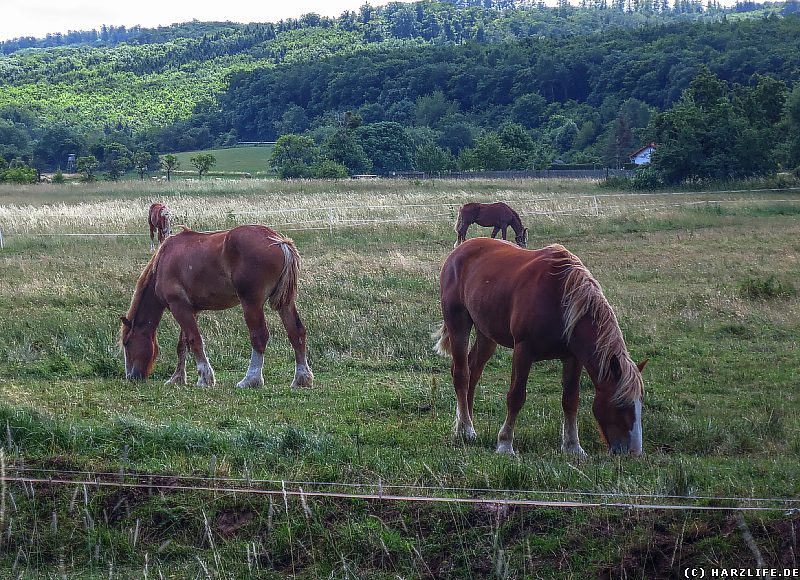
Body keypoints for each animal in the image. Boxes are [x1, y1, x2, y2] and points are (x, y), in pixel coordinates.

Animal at [120, 224, 314, 392]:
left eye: (127, 343)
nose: (131, 377)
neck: (164, 260)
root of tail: (279, 241)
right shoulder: (191, 310)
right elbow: (183, 344)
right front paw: (177, 378)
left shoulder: (179, 307)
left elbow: (195, 340)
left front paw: (204, 378)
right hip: (285, 303)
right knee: (296, 333)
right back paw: (301, 379)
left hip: (251, 303)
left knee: (259, 336)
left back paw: (250, 380)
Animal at [434, 238, 648, 456]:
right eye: (620, 404)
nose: (634, 452)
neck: (560, 299)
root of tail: (460, 249)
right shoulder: (523, 350)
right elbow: (516, 397)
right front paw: (505, 444)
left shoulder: (572, 358)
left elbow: (571, 399)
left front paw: (573, 446)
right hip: (458, 324)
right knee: (462, 374)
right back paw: (467, 428)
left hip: (487, 335)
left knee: (473, 371)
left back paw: (462, 425)